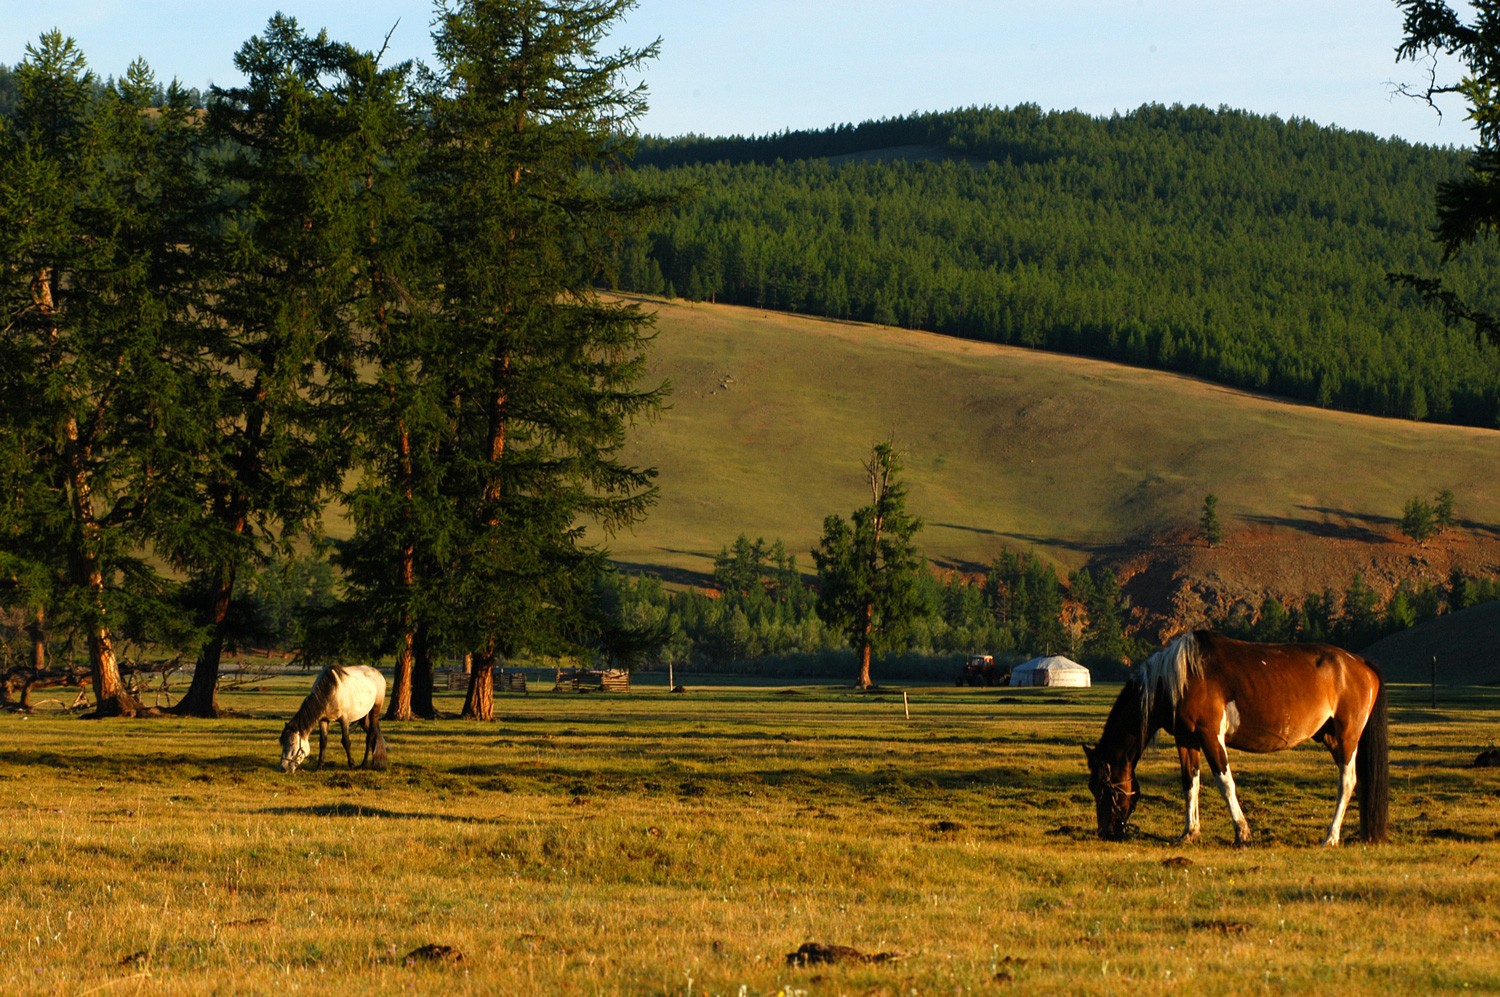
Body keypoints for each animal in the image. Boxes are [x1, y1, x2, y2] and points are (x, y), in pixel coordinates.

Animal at [1086, 632, 1386, 845]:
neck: (1177, 679)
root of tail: (1361, 663)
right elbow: (1190, 784)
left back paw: (1330, 837)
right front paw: (1189, 833)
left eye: (1102, 789)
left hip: (1346, 739)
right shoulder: (1187, 741)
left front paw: (1242, 833)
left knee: (1346, 783)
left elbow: (1225, 783)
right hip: (1332, 739)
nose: (1106, 832)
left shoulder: (1210, 736)